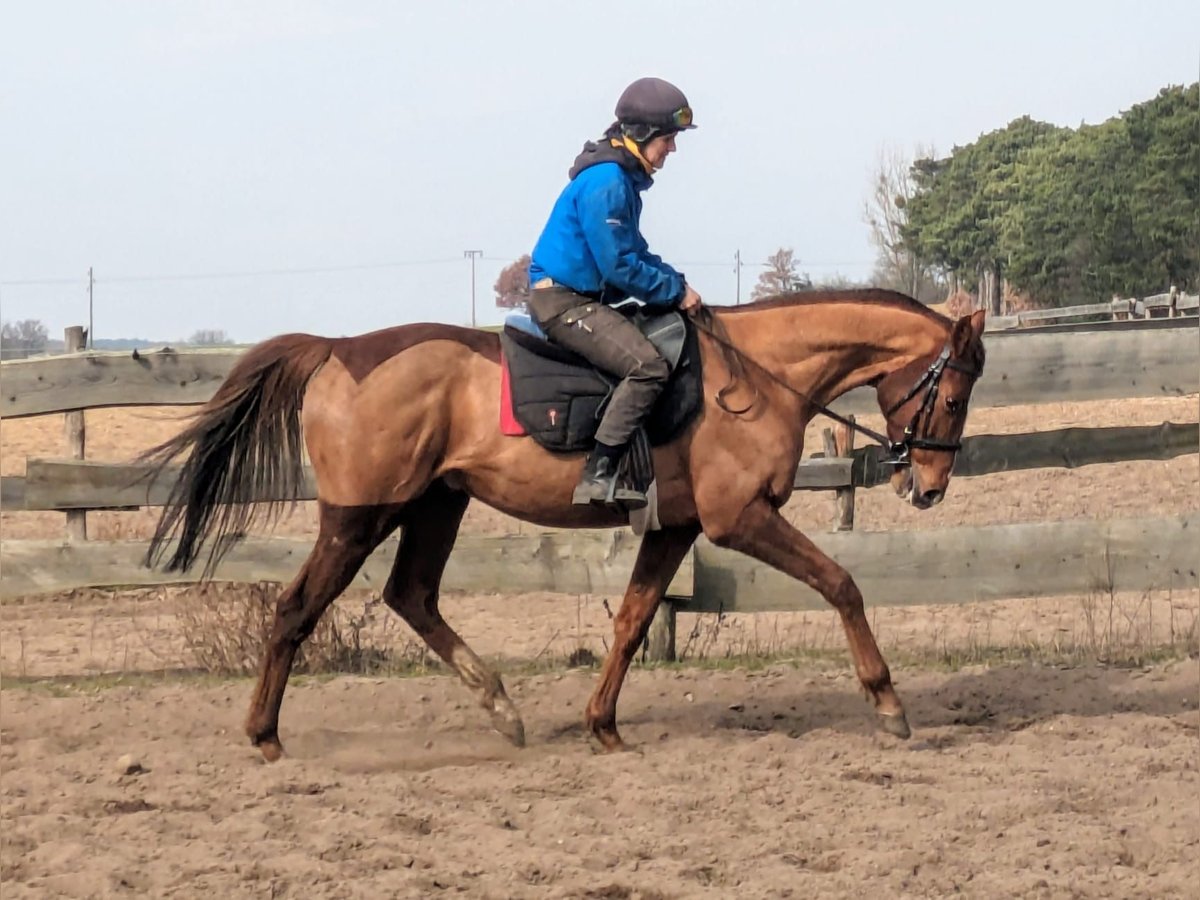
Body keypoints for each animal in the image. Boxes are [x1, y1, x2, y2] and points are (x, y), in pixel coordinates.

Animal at [147, 290, 984, 763]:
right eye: (953, 396)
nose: (929, 487)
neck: (753, 375)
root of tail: (340, 350)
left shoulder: (675, 528)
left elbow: (635, 621)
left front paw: (602, 725)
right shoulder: (737, 518)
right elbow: (842, 584)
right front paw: (888, 704)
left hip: (437, 504)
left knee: (412, 596)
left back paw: (501, 708)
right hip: (360, 516)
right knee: (298, 608)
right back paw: (264, 735)